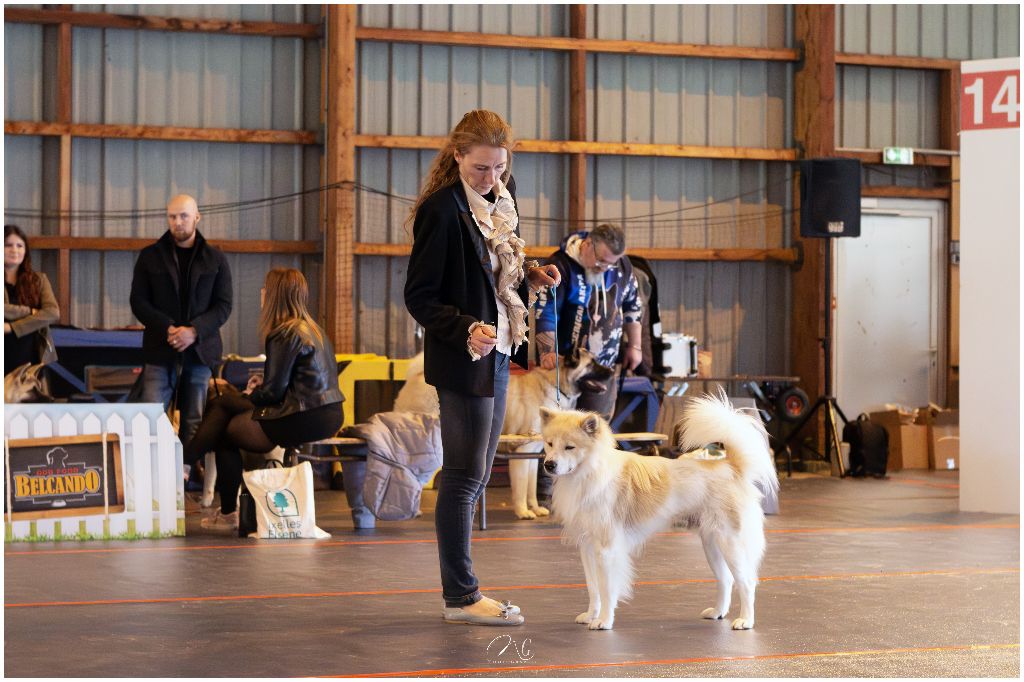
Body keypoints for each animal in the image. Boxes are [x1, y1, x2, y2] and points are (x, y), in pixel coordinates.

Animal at [393, 349, 613, 520]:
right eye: (591, 364)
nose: (612, 371)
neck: (552, 384)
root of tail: (416, 377)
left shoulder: (534, 454)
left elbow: (531, 486)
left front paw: (535, 508)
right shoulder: (522, 451)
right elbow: (522, 486)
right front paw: (523, 512)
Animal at [539, 392, 778, 631]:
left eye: (570, 447)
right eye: (549, 444)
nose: (549, 465)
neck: (590, 472)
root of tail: (731, 467)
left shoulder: (607, 549)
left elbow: (607, 589)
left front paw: (604, 621)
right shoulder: (588, 547)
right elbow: (593, 588)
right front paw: (591, 615)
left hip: (730, 542)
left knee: (746, 583)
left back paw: (746, 620)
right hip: (712, 544)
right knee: (726, 580)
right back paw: (717, 612)